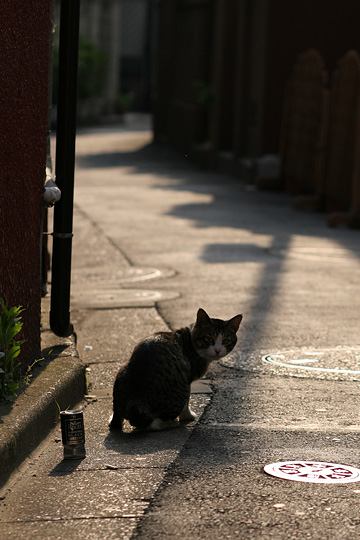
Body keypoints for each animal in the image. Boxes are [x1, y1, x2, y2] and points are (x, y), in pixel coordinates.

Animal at [109, 308, 242, 430]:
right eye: (208, 338)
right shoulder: (188, 376)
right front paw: (188, 416)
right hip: (178, 387)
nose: (217, 350)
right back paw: (169, 423)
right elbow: (187, 402)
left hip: (122, 372)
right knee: (150, 424)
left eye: (226, 340)